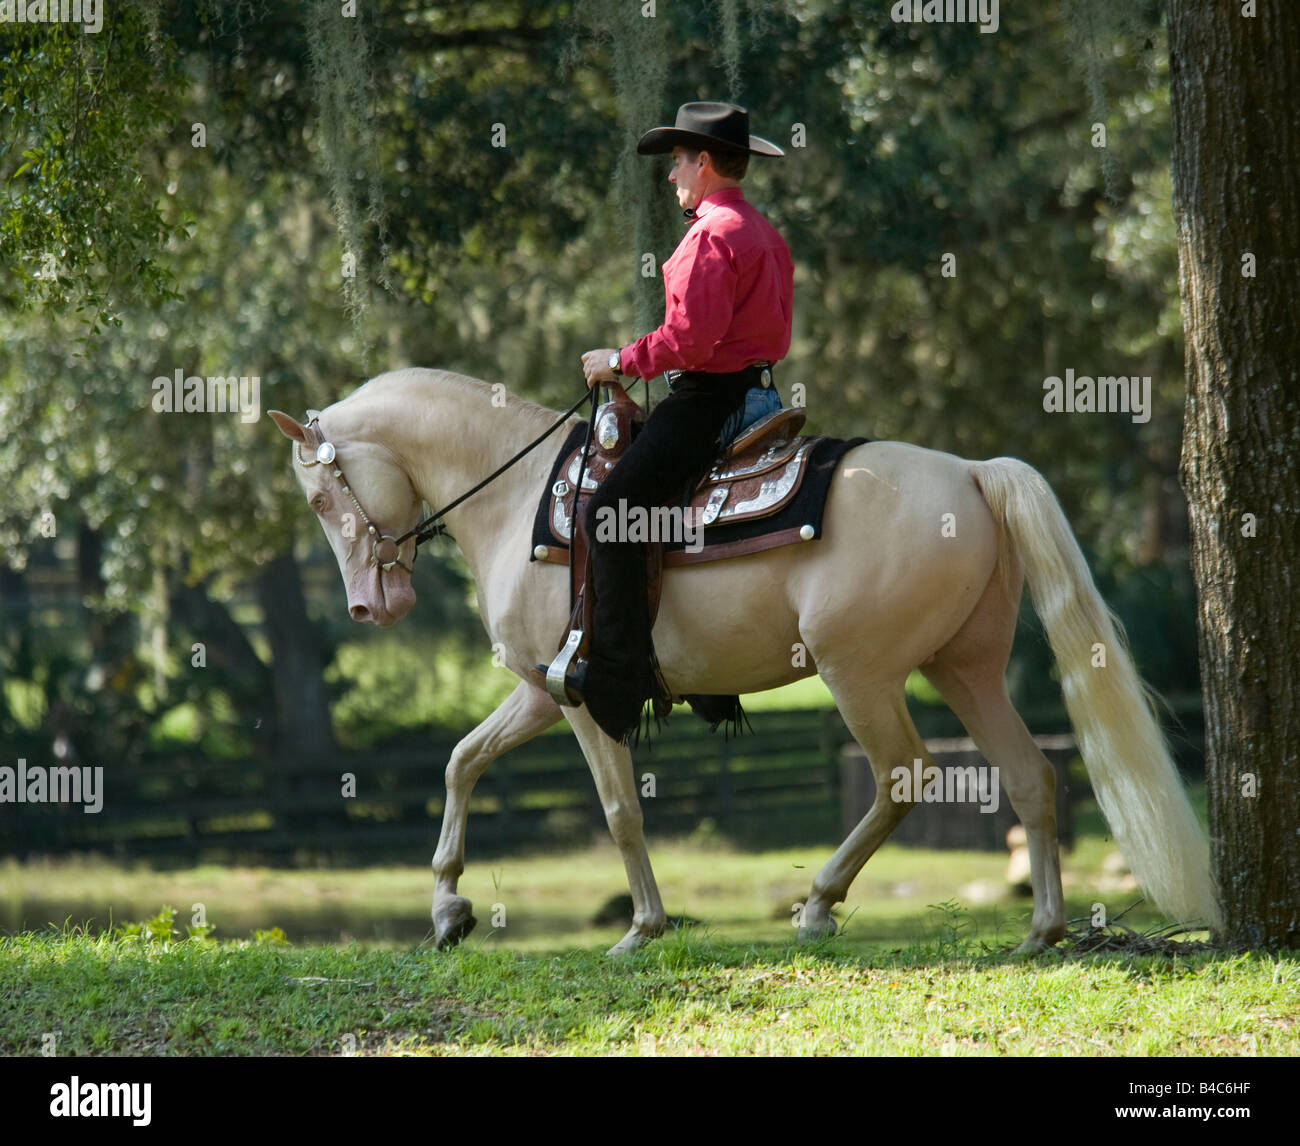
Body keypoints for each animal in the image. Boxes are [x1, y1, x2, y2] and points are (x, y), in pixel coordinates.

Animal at [269, 367, 1221, 955]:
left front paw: (643, 928)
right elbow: (462, 760)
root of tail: (974, 473)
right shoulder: (543, 690)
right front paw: (448, 909)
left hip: (860, 673)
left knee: (904, 774)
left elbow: (620, 812)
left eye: (318, 495)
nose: (369, 607)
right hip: (967, 668)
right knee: (1031, 776)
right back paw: (1040, 931)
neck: (516, 498)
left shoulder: (581, 696)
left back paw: (818, 907)